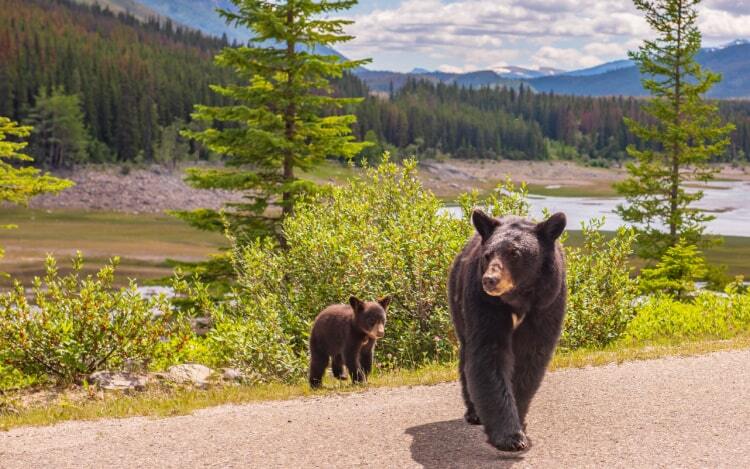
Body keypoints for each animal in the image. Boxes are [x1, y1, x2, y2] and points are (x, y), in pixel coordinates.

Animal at [450, 208, 568, 450]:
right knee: (466, 352)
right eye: (488, 254)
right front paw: (510, 436)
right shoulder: (484, 303)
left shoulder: (547, 302)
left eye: (514, 253)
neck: (517, 297)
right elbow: (489, 355)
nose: (490, 280)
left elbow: (530, 358)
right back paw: (474, 413)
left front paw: (519, 423)